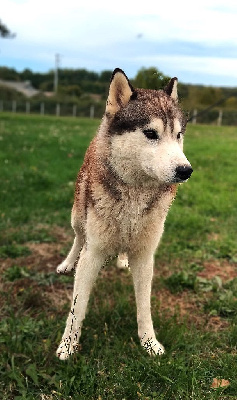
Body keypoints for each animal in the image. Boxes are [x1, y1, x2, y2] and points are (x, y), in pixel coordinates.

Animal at [56, 68, 193, 360]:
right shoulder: (93, 253)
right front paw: (68, 345)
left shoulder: (145, 255)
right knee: (78, 239)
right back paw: (67, 263)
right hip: (78, 217)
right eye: (151, 133)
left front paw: (149, 342)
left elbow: (144, 306)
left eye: (178, 135)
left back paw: (121, 259)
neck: (134, 196)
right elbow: (77, 307)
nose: (186, 170)